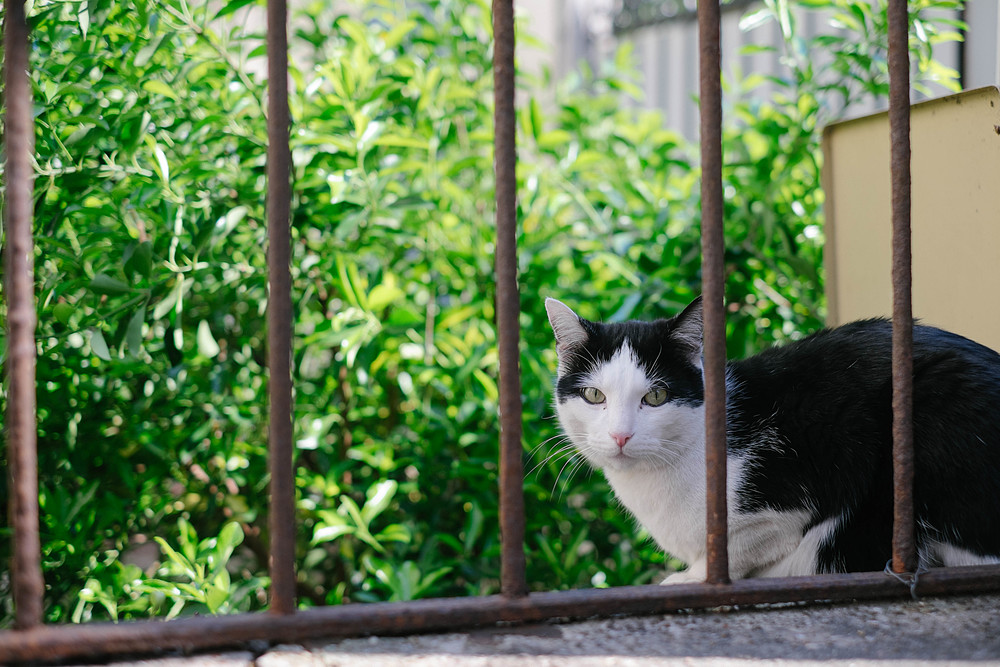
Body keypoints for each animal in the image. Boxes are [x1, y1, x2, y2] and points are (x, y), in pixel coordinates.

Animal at [548, 298, 1000, 584]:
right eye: (594, 395)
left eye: (655, 396)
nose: (620, 435)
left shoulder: (786, 502)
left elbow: (741, 546)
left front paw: (692, 579)